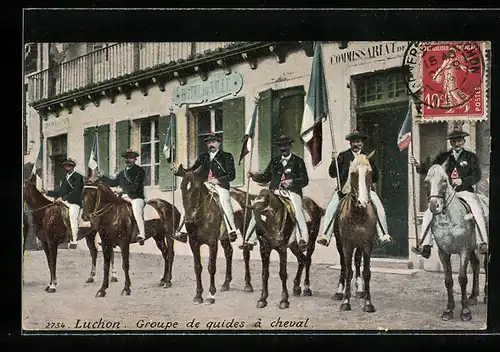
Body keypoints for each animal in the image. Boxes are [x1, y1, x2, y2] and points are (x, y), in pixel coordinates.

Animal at [176, 166, 254, 306]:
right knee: (229, 252)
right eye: (182, 187)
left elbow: (211, 267)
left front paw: (210, 295)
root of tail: (244, 194)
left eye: (196, 188)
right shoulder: (193, 243)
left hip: (245, 230)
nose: (189, 219)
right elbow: (197, 268)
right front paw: (198, 295)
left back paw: (248, 284)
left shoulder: (212, 243)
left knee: (246, 253)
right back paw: (226, 283)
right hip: (224, 237)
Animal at [334, 153, 376, 312]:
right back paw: (339, 291)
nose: (362, 202)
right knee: (343, 265)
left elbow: (366, 272)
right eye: (353, 173)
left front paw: (368, 303)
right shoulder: (347, 244)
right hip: (339, 243)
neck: (359, 214)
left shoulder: (367, 244)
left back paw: (359, 290)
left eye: (370, 172)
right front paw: (346, 301)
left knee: (357, 261)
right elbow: (348, 271)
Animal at [422, 164, 488, 320]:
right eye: (426, 181)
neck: (448, 220)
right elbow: (448, 280)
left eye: (444, 181)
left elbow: (462, 278)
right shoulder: (443, 252)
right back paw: (473, 296)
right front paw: (449, 310)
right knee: (476, 266)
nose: (434, 206)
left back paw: (485, 296)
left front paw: (465, 311)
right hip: (473, 249)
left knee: (486, 267)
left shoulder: (463, 250)